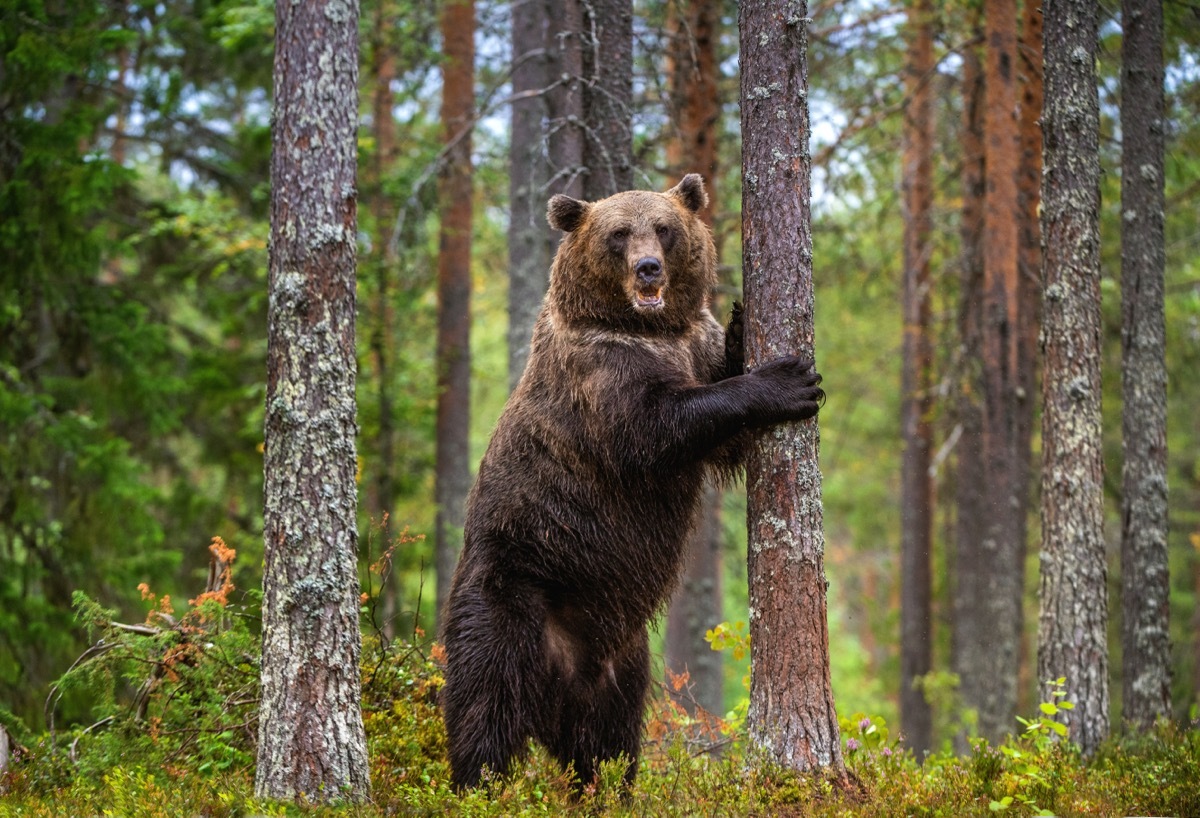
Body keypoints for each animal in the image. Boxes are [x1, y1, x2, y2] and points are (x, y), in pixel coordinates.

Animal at [439, 174, 824, 791]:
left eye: (664, 229)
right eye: (618, 234)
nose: (648, 268)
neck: (646, 326)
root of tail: (562, 675)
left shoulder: (689, 343)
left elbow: (723, 432)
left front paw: (743, 327)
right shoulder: (599, 373)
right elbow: (656, 425)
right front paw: (786, 381)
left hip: (623, 660)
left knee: (609, 742)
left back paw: (605, 787)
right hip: (508, 594)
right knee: (486, 706)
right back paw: (478, 787)